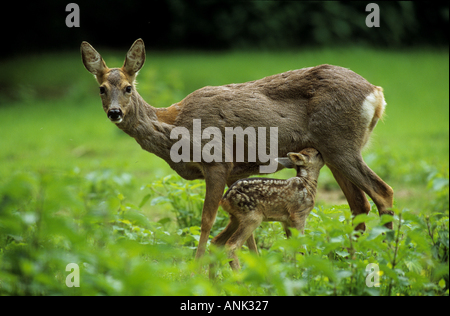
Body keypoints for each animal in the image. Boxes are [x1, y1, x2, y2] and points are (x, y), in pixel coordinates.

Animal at [81, 38, 394, 260]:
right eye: (101, 89)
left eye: (128, 87)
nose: (114, 112)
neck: (175, 127)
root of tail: (377, 94)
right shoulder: (236, 172)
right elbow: (247, 232)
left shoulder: (217, 161)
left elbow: (206, 220)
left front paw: (196, 269)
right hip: (331, 150)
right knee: (359, 205)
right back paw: (349, 262)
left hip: (341, 144)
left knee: (383, 192)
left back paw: (386, 257)